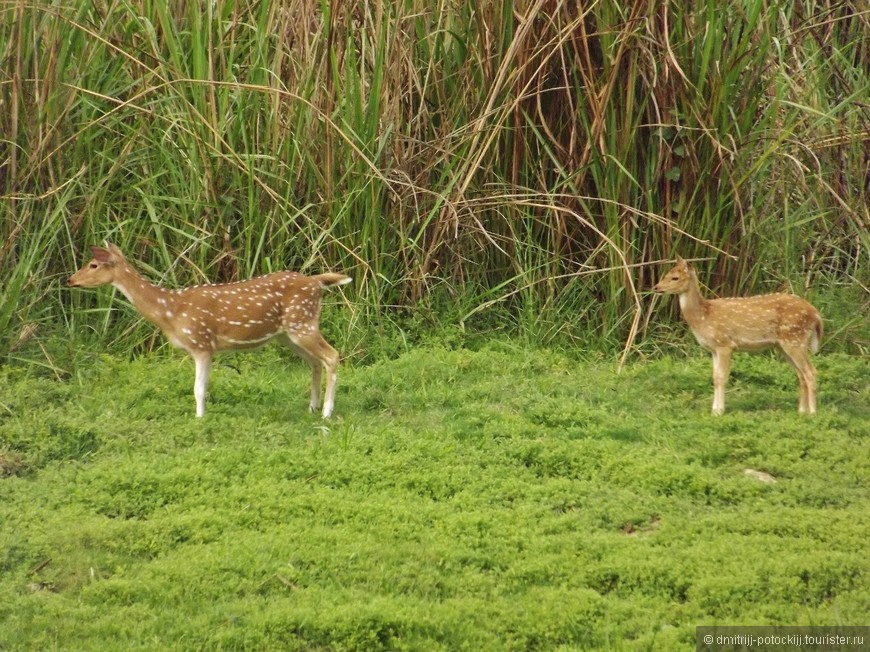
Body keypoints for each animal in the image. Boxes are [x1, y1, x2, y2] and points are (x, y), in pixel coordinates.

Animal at [70, 243, 352, 418]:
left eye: (93, 264)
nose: (70, 279)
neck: (170, 311)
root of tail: (316, 282)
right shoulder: (205, 348)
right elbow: (201, 387)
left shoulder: (201, 343)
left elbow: (198, 388)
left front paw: (199, 418)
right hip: (288, 333)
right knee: (315, 362)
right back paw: (312, 407)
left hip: (301, 323)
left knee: (332, 356)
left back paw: (326, 412)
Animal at [656, 258, 824, 416]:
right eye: (666, 274)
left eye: (675, 277)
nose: (656, 287)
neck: (703, 316)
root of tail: (816, 314)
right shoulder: (714, 349)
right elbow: (715, 377)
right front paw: (714, 410)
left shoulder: (725, 344)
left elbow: (722, 377)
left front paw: (718, 411)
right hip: (784, 345)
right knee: (801, 374)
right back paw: (801, 411)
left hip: (795, 339)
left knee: (811, 372)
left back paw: (813, 412)